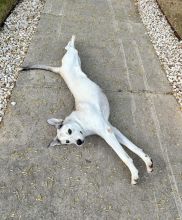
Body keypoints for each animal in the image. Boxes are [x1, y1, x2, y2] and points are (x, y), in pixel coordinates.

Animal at [21, 35, 154, 184]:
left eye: (69, 131)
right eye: (68, 142)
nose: (79, 143)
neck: (81, 122)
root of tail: (60, 70)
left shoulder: (107, 132)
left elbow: (124, 155)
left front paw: (134, 173)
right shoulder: (111, 129)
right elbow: (133, 147)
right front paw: (147, 161)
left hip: (72, 58)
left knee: (71, 49)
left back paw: (72, 40)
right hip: (74, 60)